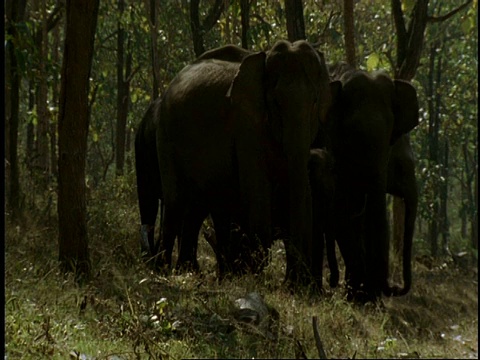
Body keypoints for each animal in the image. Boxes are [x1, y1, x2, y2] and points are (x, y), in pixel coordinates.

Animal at [152, 40, 332, 282]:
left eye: (314, 101)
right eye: (276, 102)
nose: (295, 279)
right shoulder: (245, 123)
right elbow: (257, 188)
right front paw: (253, 273)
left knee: (196, 206)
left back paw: (190, 272)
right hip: (165, 134)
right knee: (176, 201)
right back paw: (165, 272)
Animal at [318, 64, 420, 300]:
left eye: (390, 135)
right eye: (352, 131)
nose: (394, 288)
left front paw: (366, 297)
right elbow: (342, 211)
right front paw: (359, 295)